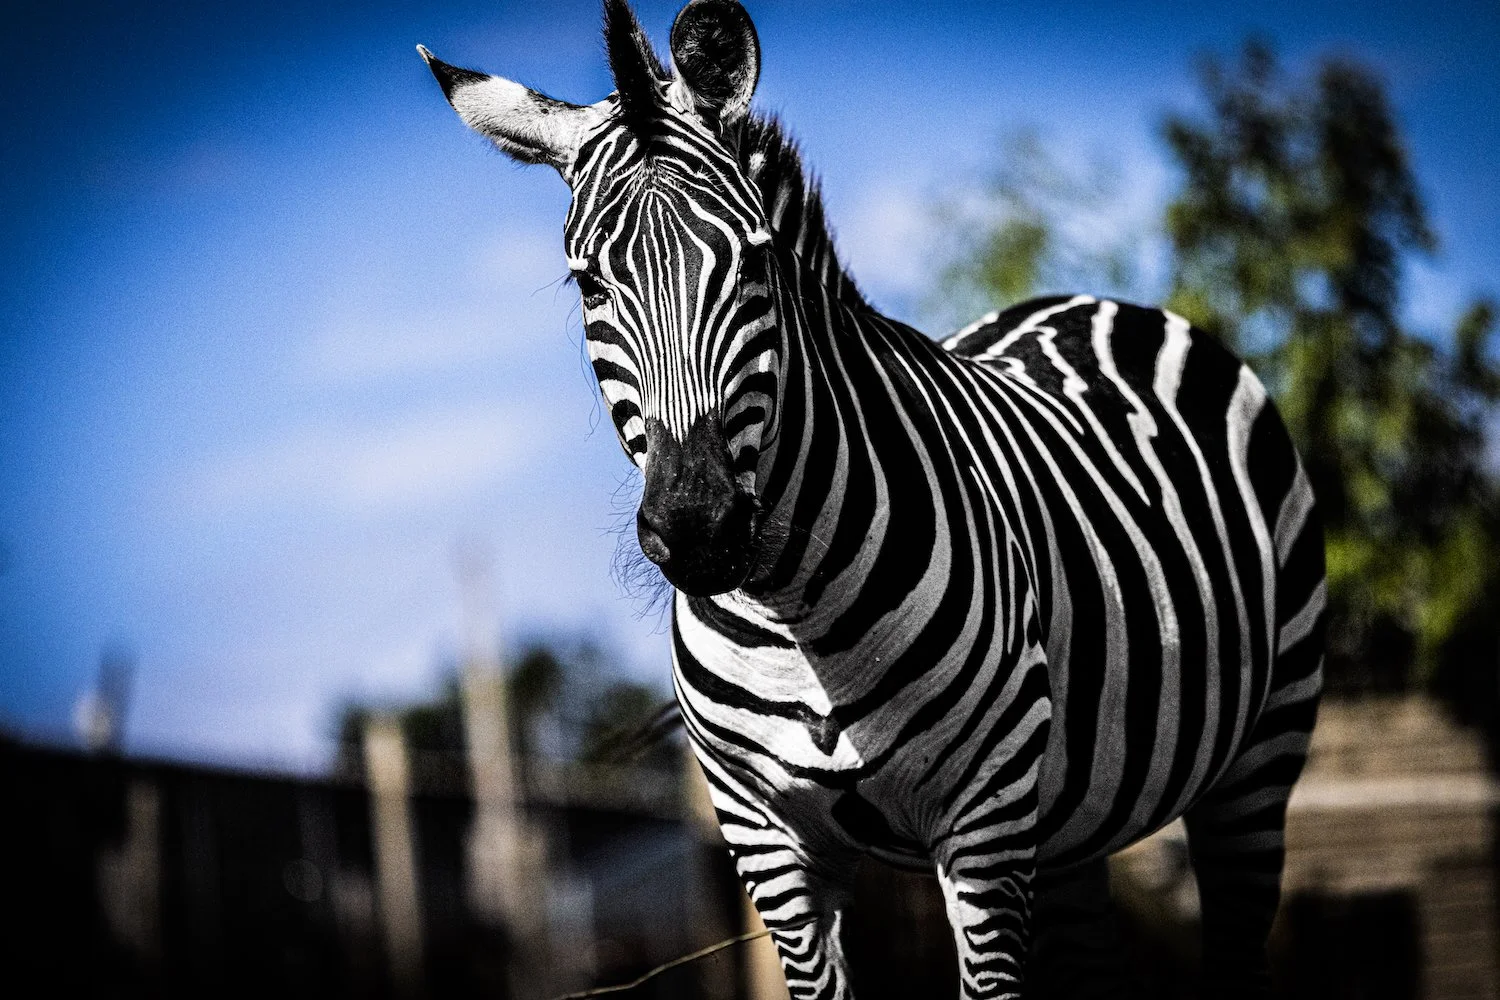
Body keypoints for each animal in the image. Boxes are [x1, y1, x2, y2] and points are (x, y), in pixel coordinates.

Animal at [419, 1, 1325, 996]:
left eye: (755, 265)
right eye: (589, 282)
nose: (698, 530)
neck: (791, 614)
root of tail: (1090, 303)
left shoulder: (984, 816)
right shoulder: (766, 838)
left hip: (1261, 754)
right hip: (1072, 825)